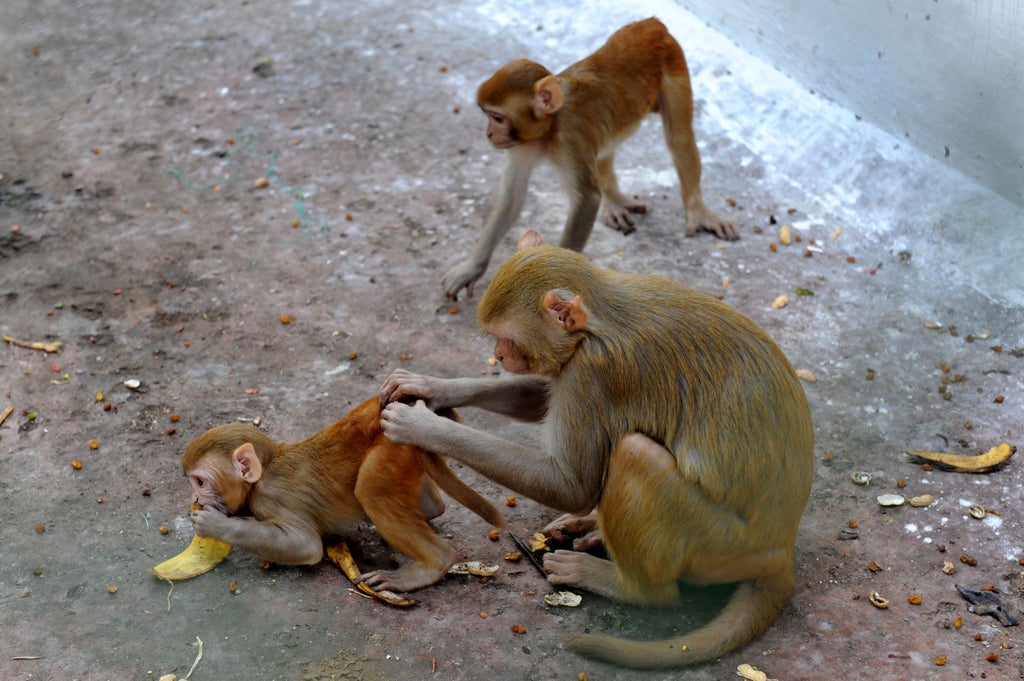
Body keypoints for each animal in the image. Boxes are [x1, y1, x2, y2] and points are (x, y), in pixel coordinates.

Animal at [183, 397, 504, 593]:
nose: (195, 500)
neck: (264, 470)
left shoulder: (270, 499)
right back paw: (432, 507)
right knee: (424, 503)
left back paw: (433, 563)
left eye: (200, 482)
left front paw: (216, 525)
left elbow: (306, 545)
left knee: (370, 488)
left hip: (394, 446)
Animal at [381, 230, 813, 668]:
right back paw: (590, 530)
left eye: (508, 338)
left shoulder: (592, 373)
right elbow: (541, 396)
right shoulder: (573, 366)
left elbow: (571, 484)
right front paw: (434, 387)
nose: (499, 355)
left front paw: (423, 427)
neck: (599, 317)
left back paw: (627, 585)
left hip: (720, 545)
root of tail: (780, 551)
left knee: (634, 453)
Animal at [441, 18, 737, 300]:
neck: (549, 128)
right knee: (607, 147)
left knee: (679, 138)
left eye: (498, 118)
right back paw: (614, 201)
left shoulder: (570, 139)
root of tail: (651, 24)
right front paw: (470, 270)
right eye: (488, 115)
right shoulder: (522, 144)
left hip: (674, 61)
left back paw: (697, 210)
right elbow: (511, 198)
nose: (489, 134)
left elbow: (587, 200)